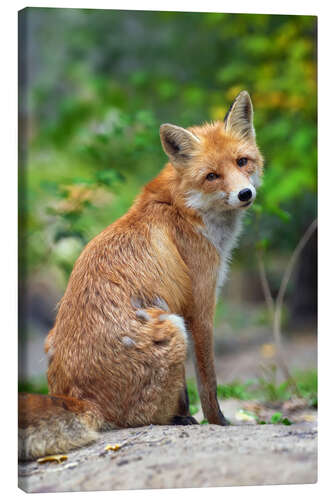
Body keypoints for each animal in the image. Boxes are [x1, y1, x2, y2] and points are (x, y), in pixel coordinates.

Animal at [18, 91, 262, 460]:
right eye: (212, 176)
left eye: (242, 162)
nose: (245, 194)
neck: (183, 208)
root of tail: (79, 397)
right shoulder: (198, 308)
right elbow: (208, 382)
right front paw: (218, 422)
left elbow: (190, 388)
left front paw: (191, 415)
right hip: (173, 328)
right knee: (142, 418)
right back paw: (173, 419)